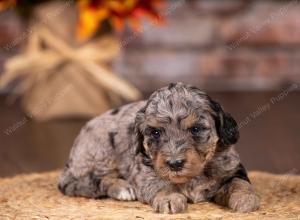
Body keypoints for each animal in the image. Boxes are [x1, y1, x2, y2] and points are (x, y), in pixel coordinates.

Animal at [58, 82, 260, 213]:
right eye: (155, 133)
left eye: (195, 129)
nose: (175, 164)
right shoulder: (143, 170)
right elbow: (158, 183)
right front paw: (169, 197)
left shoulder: (232, 168)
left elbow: (239, 183)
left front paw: (246, 198)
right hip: (100, 153)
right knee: (90, 181)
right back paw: (123, 188)